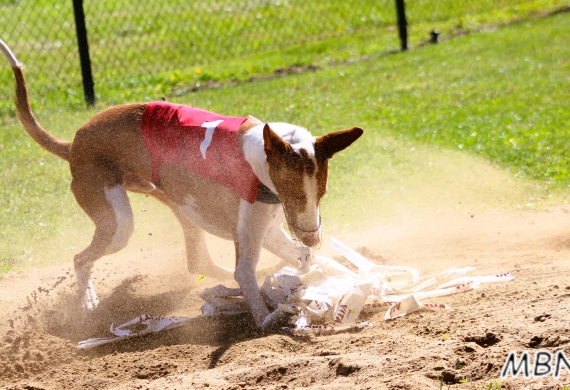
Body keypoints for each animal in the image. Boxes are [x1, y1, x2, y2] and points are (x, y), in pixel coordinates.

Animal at [0, 38, 362, 328]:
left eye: (321, 193)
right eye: (293, 193)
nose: (314, 236)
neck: (257, 157)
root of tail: (74, 143)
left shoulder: (269, 228)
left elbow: (299, 256)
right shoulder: (252, 231)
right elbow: (247, 276)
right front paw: (267, 316)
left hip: (173, 203)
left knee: (198, 261)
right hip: (117, 223)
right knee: (80, 258)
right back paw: (88, 300)